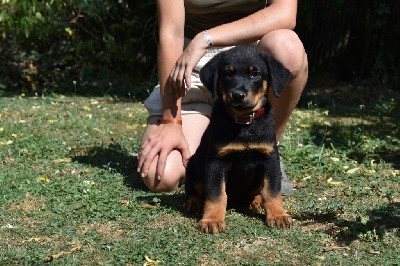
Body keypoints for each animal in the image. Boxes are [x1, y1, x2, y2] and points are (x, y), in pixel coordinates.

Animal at [185, 45, 294, 233]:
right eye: (227, 74)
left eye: (255, 73)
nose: (238, 94)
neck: (243, 123)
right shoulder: (216, 161)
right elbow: (216, 194)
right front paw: (212, 220)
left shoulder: (269, 158)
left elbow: (272, 190)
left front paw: (278, 215)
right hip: (193, 166)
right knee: (196, 189)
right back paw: (193, 201)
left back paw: (256, 201)